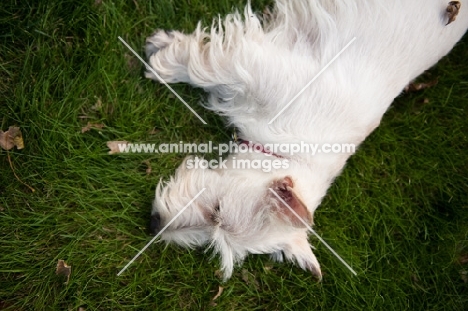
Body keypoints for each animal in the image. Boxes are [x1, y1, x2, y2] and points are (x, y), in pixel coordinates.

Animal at [144, 0, 466, 282]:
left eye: (217, 218)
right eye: (218, 209)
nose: (153, 224)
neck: (293, 152)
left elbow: (203, 64)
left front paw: (165, 52)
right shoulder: (251, 65)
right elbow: (201, 66)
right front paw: (163, 59)